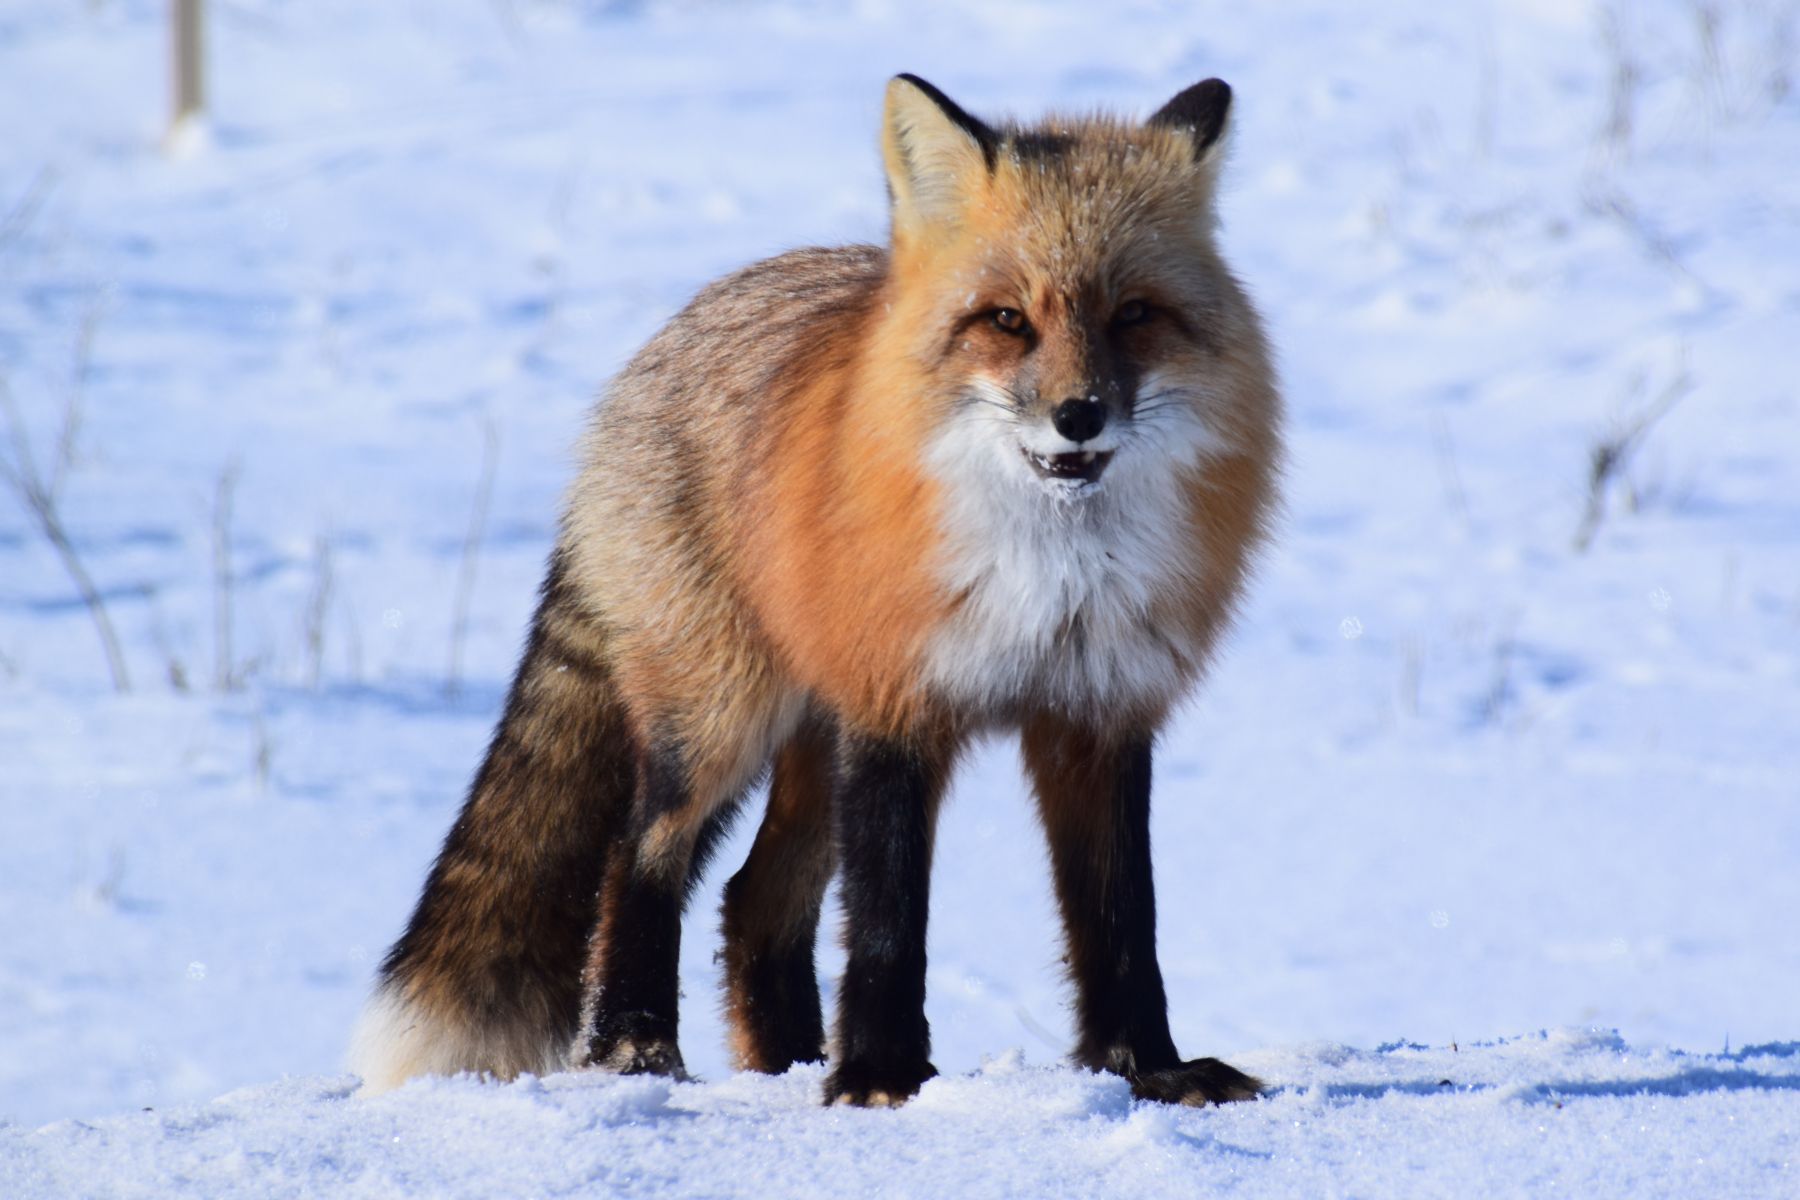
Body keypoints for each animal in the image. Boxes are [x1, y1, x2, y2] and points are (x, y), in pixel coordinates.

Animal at [350, 73, 1282, 1109]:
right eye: (1006, 320)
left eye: (1134, 315)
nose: (1077, 415)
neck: (1049, 574)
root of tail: (651, 358)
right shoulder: (894, 705)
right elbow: (888, 922)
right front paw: (880, 1077)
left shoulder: (1099, 714)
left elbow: (1122, 923)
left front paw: (1145, 1067)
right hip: (722, 720)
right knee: (641, 858)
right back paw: (637, 1049)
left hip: (805, 740)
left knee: (754, 900)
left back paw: (789, 1066)